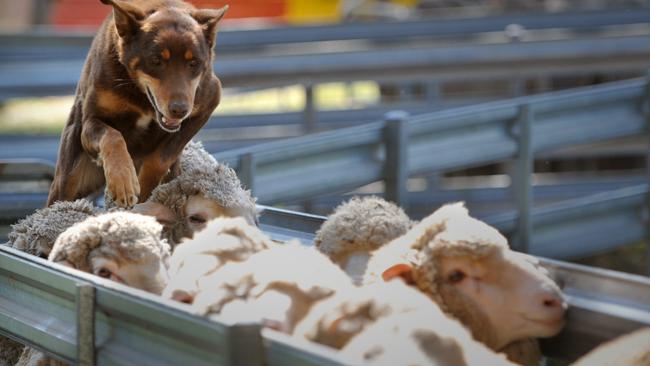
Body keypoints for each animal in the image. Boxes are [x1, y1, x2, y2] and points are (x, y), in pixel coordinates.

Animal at [46, 0, 228, 209]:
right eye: (156, 60)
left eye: (194, 62)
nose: (179, 110)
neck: (142, 97)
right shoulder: (91, 122)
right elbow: (113, 136)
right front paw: (123, 182)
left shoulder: (207, 102)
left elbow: (161, 158)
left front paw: (144, 190)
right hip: (68, 178)